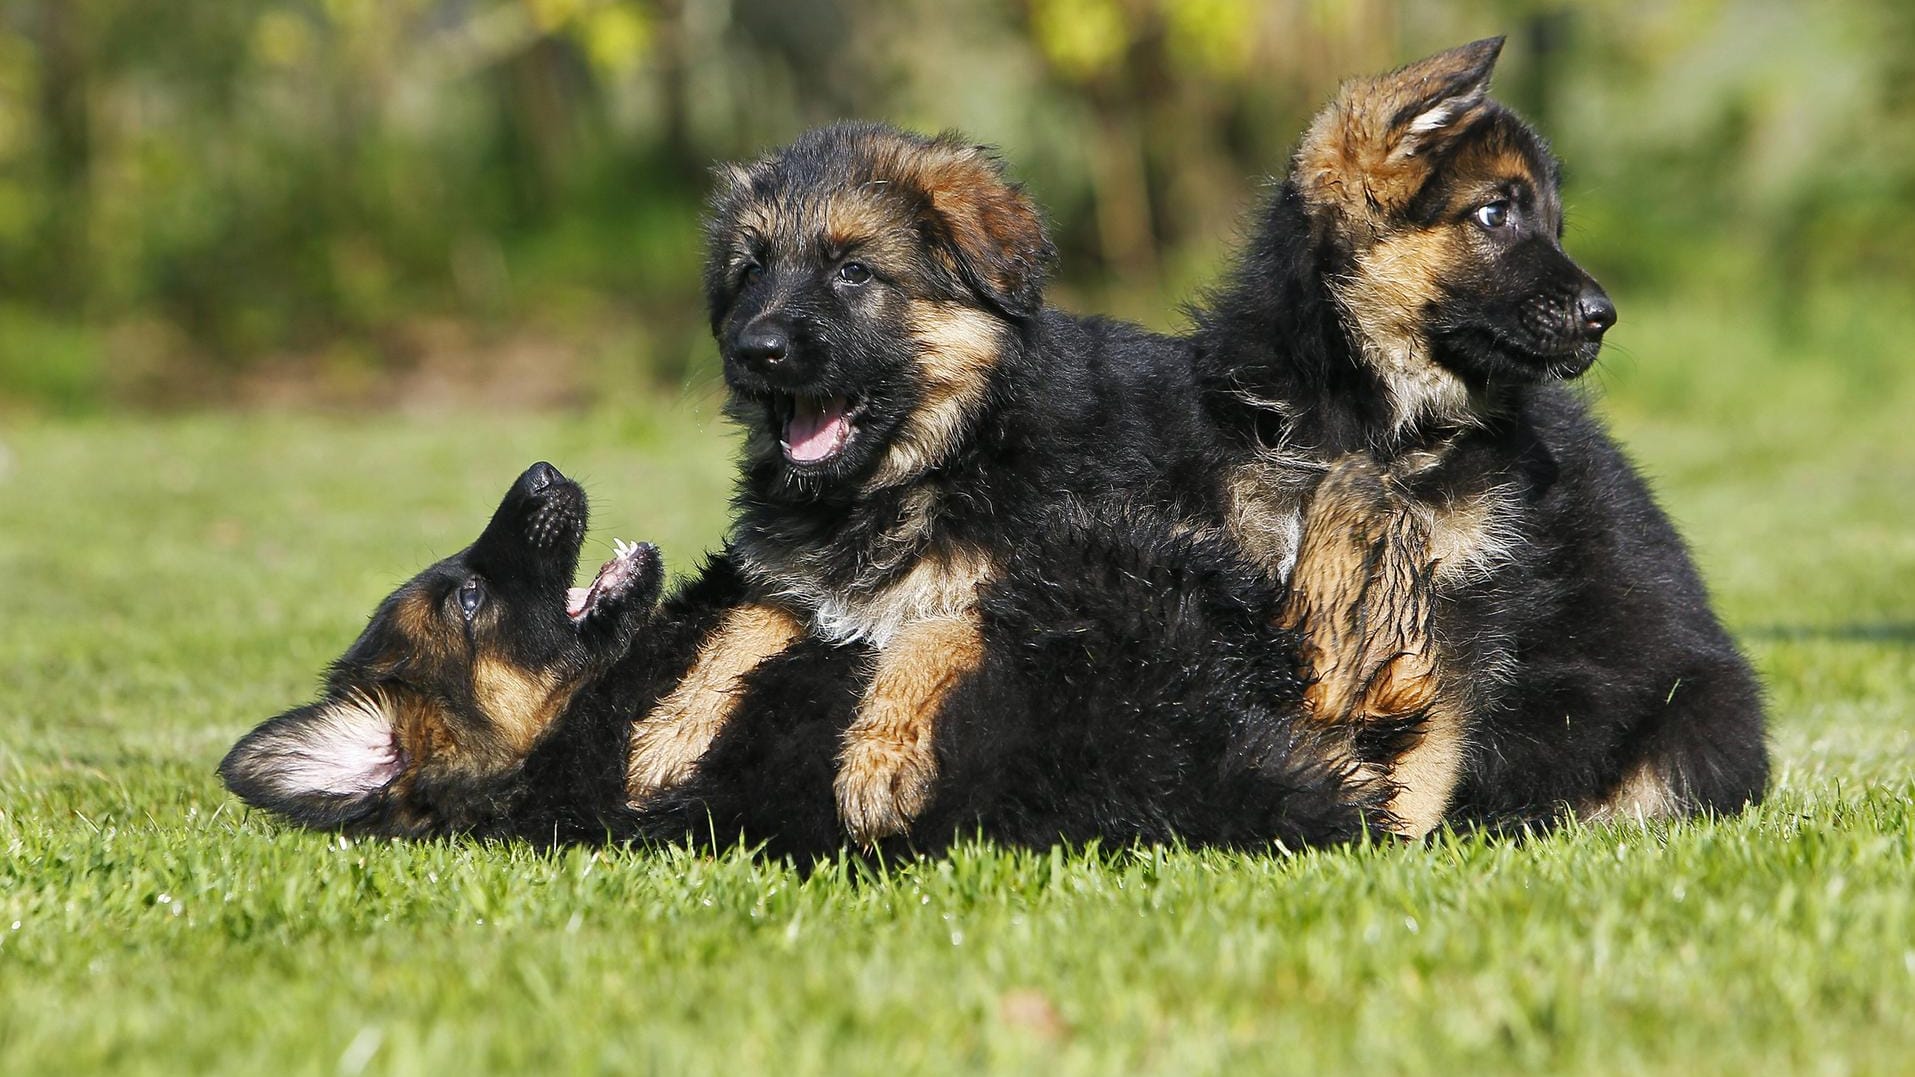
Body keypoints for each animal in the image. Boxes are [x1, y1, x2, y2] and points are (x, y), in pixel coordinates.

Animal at [635, 121, 1217, 843]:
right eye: (752, 271)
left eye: (853, 271)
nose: (754, 350)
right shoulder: (793, 583)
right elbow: (738, 626)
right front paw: (671, 728)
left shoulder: (1011, 585)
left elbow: (923, 636)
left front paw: (879, 758)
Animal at [1194, 37, 1761, 831]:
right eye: (1495, 214)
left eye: (1555, 227)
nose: (1603, 316)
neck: (1381, 426)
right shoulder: (1281, 558)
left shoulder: (1462, 600)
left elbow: (1427, 748)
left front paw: (1391, 835)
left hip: (1697, 713)